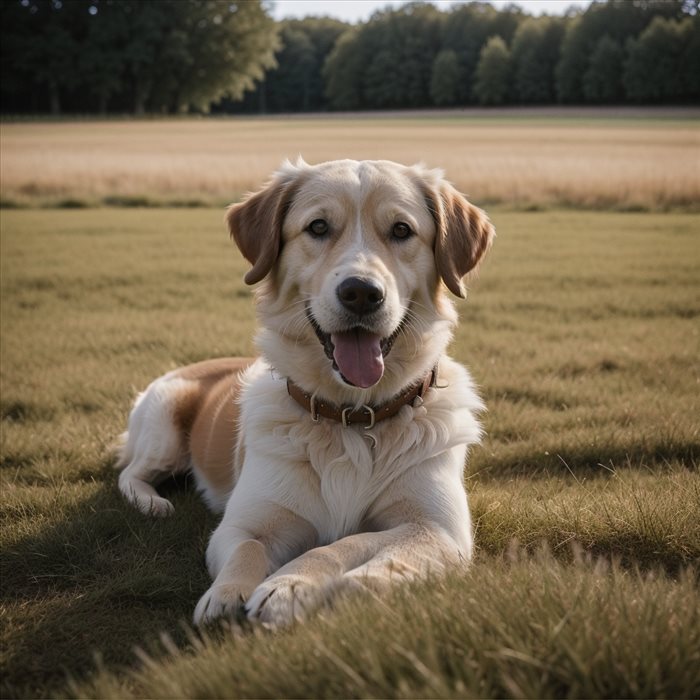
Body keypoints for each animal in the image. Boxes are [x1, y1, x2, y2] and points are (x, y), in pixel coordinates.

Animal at [113, 160, 492, 628]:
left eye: (402, 230)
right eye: (318, 227)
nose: (361, 293)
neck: (351, 418)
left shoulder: (438, 530)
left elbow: (345, 543)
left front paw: (295, 584)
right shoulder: (240, 525)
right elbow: (247, 547)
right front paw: (226, 594)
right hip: (164, 427)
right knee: (130, 473)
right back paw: (152, 503)